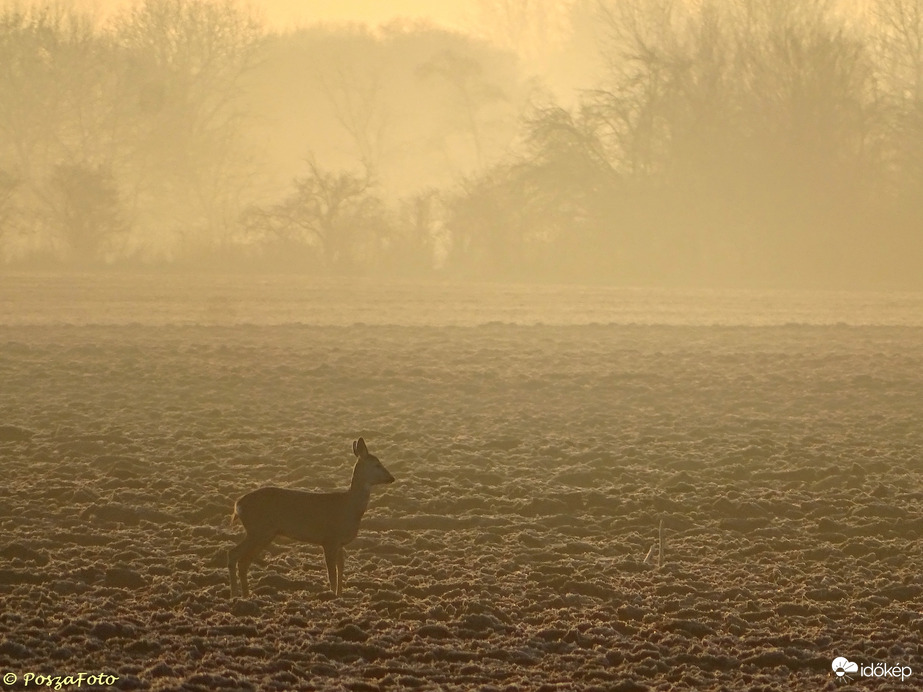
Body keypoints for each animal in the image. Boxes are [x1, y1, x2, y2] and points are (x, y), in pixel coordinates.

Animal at [229, 440, 396, 596]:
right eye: (377, 464)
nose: (392, 478)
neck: (349, 507)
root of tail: (238, 505)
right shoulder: (329, 539)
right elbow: (332, 573)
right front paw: (332, 595)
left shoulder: (340, 543)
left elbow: (340, 569)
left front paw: (340, 595)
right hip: (258, 530)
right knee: (235, 555)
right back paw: (236, 594)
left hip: (263, 533)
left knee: (243, 560)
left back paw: (245, 594)